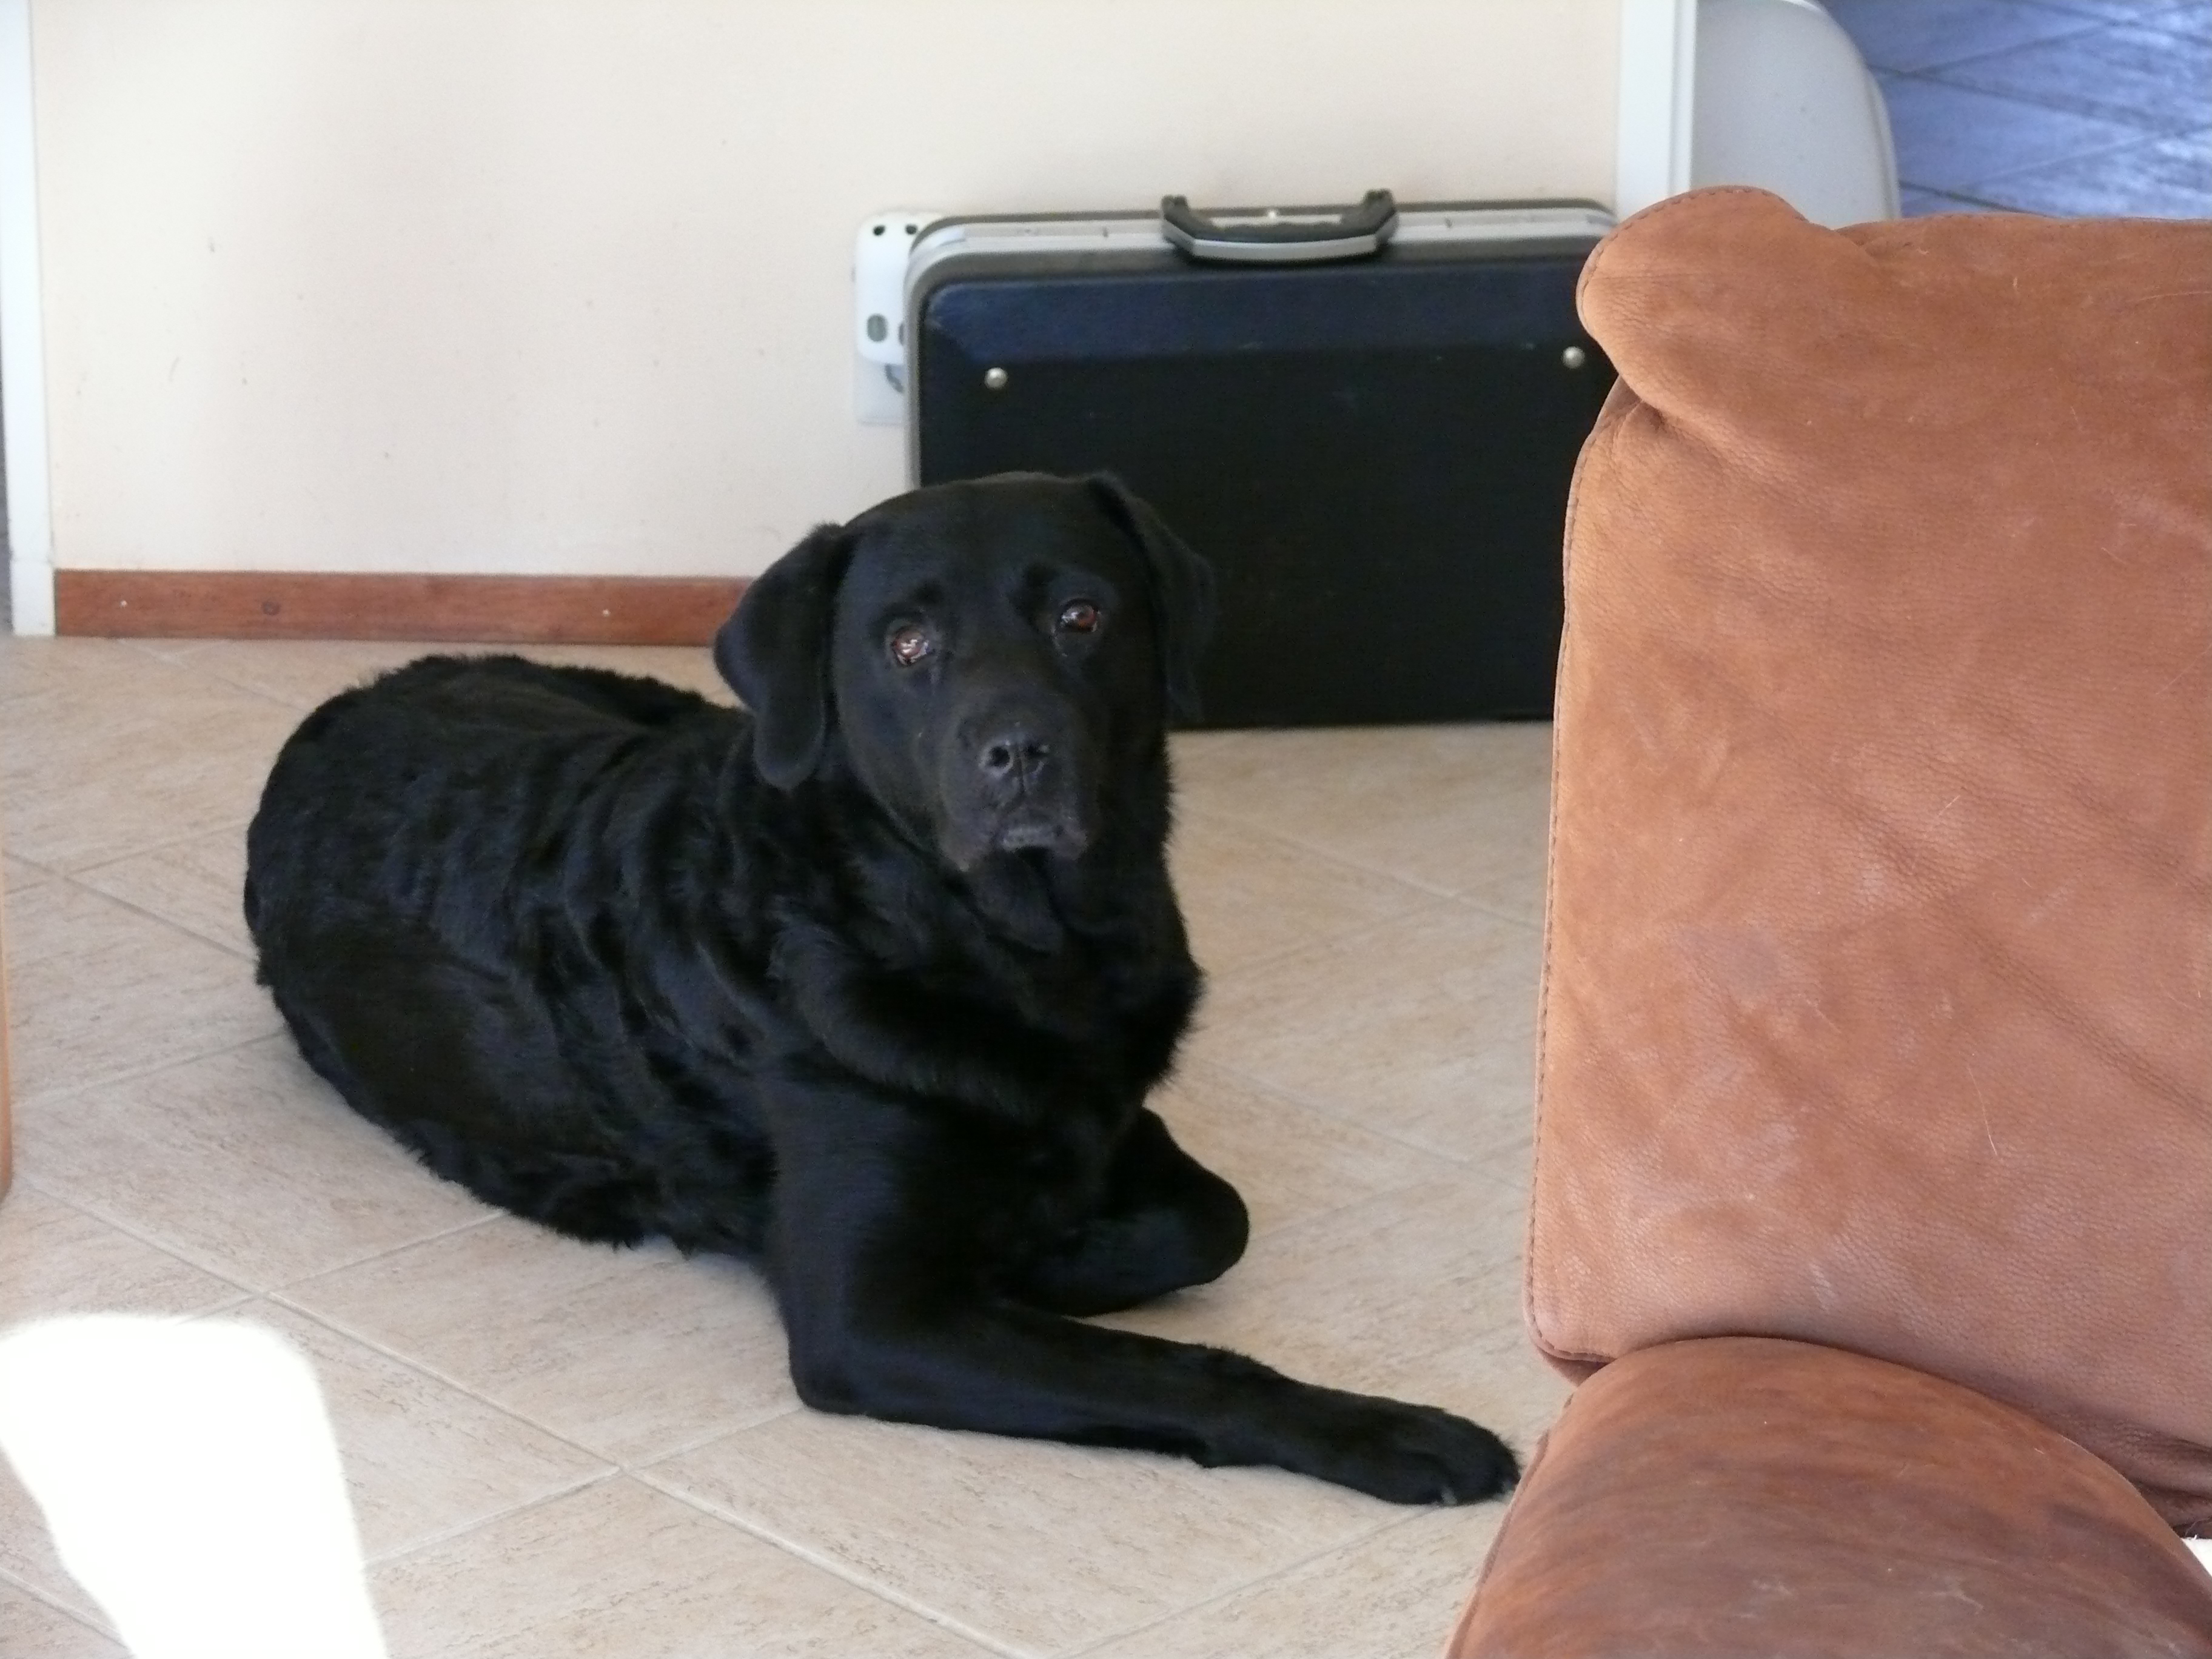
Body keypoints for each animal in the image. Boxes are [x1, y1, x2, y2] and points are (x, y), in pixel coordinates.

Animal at [244, 472, 1516, 1504]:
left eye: (1080, 618)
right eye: (907, 645)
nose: (1017, 751)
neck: (1004, 949)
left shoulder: (1109, 1111)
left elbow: (1213, 1217)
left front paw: (1059, 1242)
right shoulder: (872, 1320)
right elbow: (1170, 1361)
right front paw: (1387, 1430)